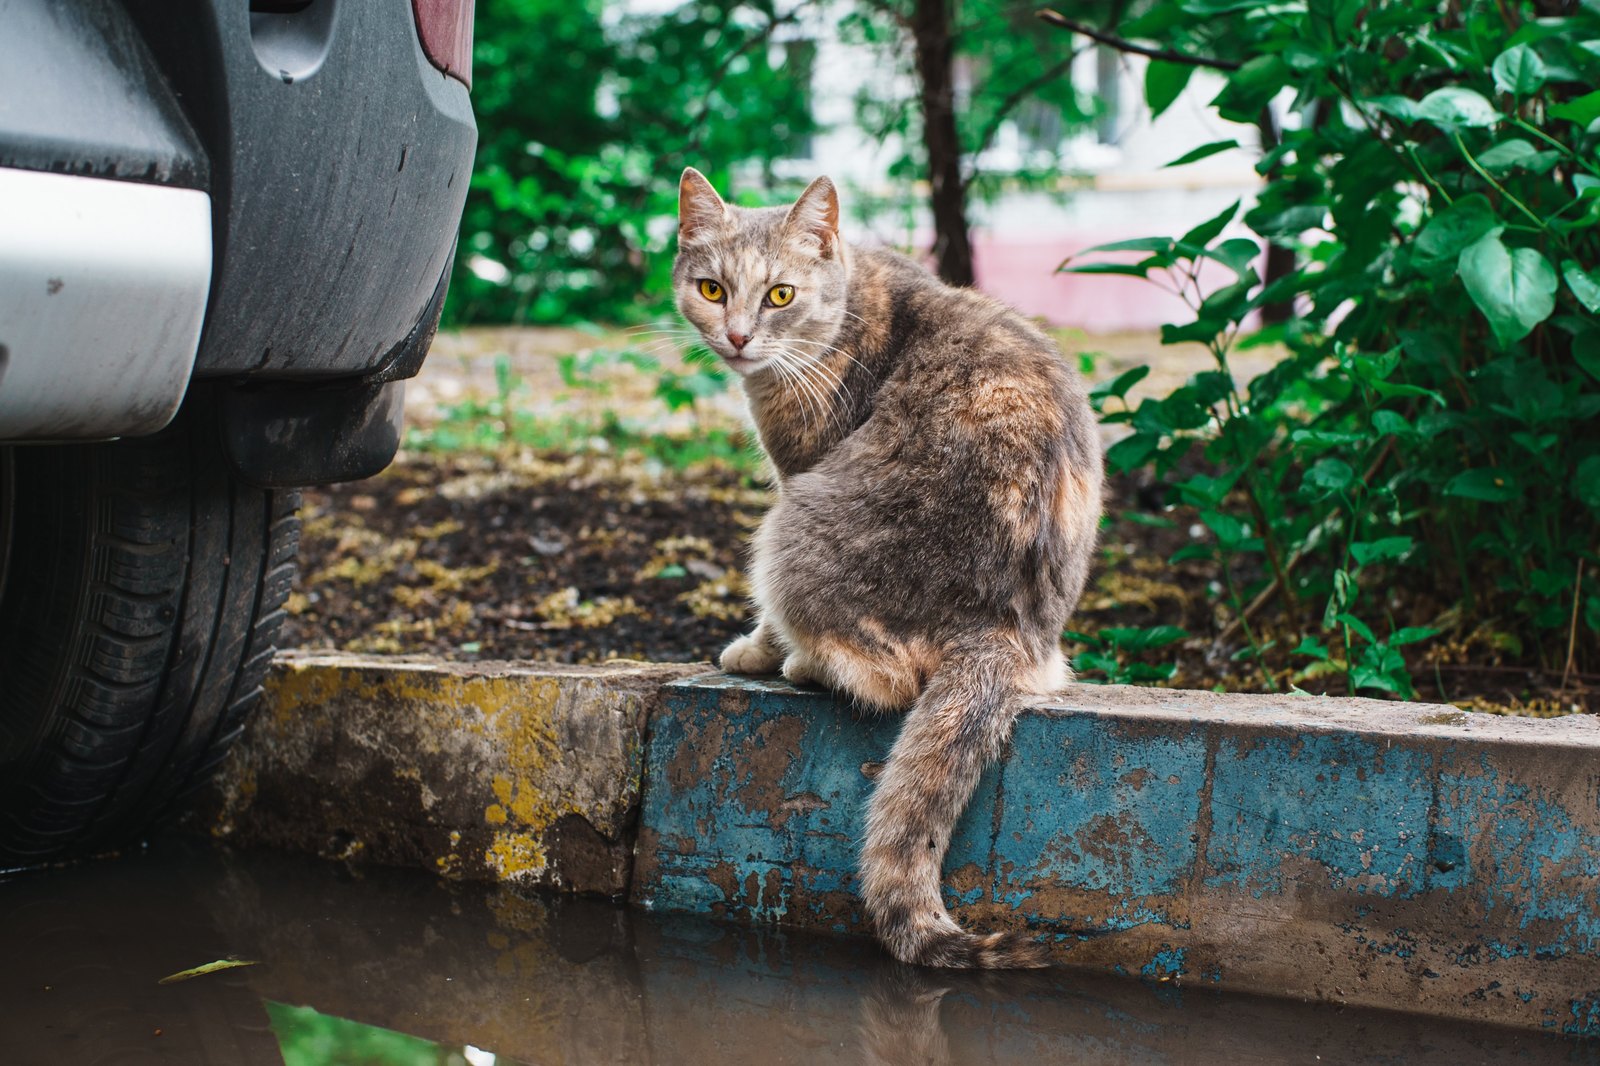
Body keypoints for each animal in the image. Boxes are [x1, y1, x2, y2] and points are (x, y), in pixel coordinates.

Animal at [672, 164, 1100, 960]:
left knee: (884, 677)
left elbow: (768, 624)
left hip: (791, 531)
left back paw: (802, 662)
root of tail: (998, 629)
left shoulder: (796, 471)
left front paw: (754, 649)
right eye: (712, 289)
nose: (739, 336)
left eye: (780, 295)